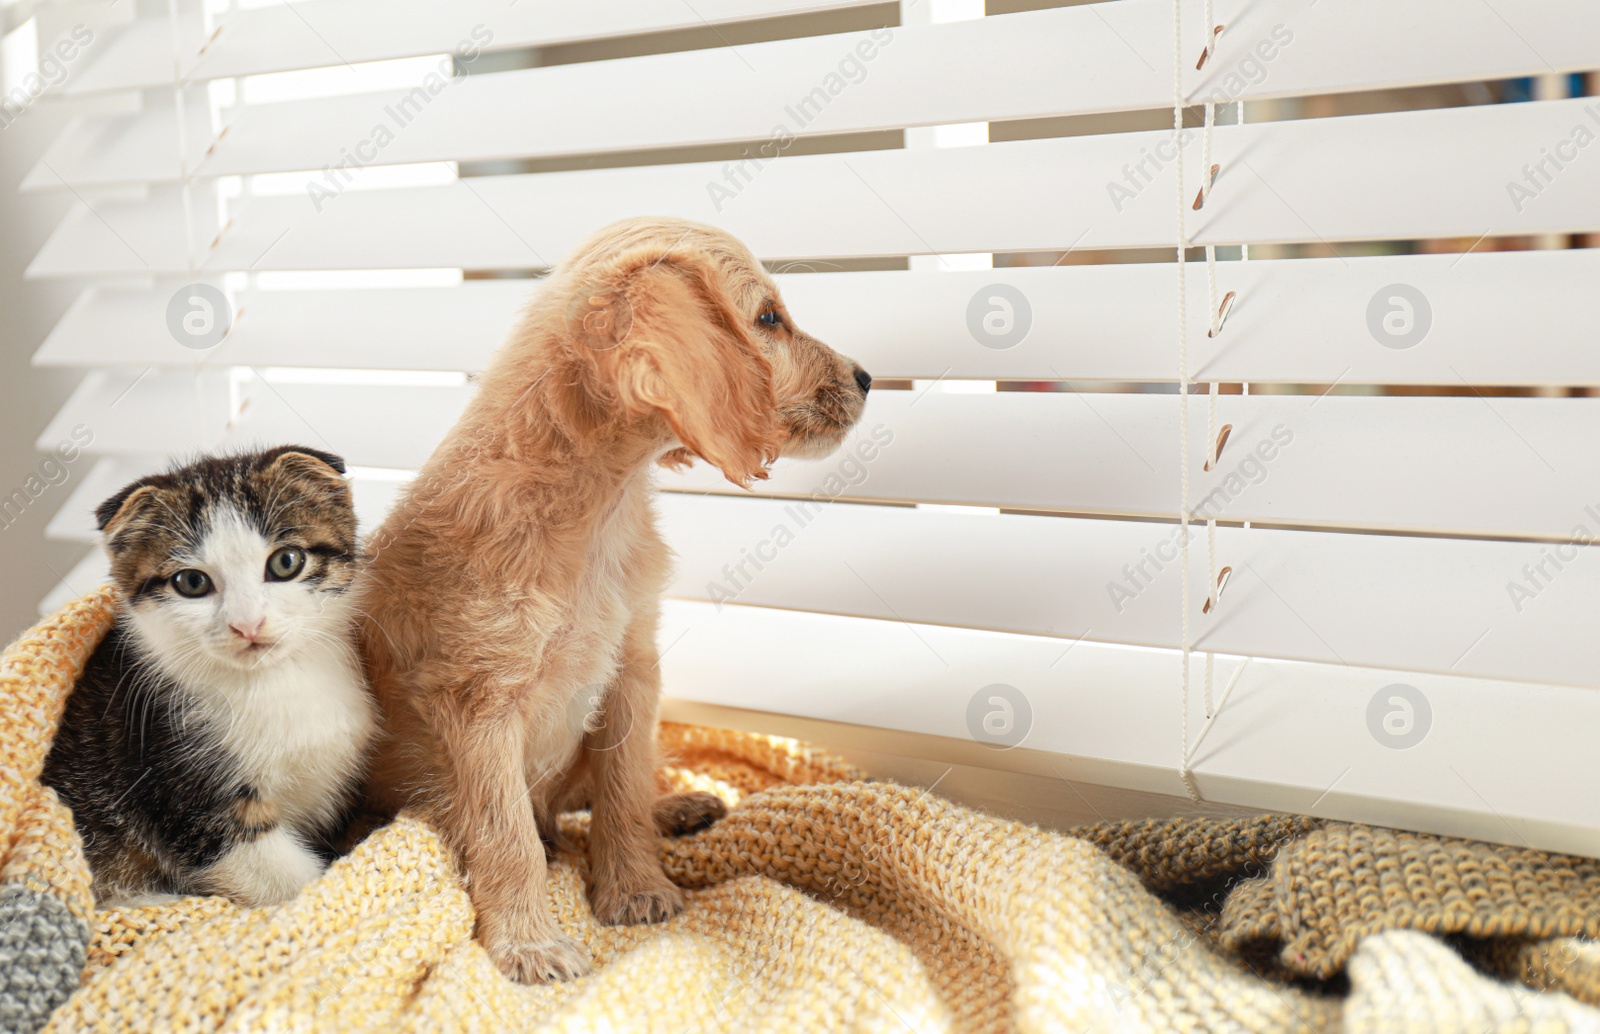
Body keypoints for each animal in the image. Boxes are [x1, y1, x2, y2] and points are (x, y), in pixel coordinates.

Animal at [43, 444, 374, 909]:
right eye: (192, 582)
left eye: (286, 562)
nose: (247, 624)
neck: (271, 683)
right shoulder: (176, 788)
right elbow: (285, 883)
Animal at [361, 216, 870, 979]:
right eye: (768, 319)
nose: (867, 378)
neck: (599, 507)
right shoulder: (479, 703)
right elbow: (505, 832)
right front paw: (529, 942)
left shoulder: (631, 668)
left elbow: (623, 790)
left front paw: (634, 886)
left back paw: (676, 808)